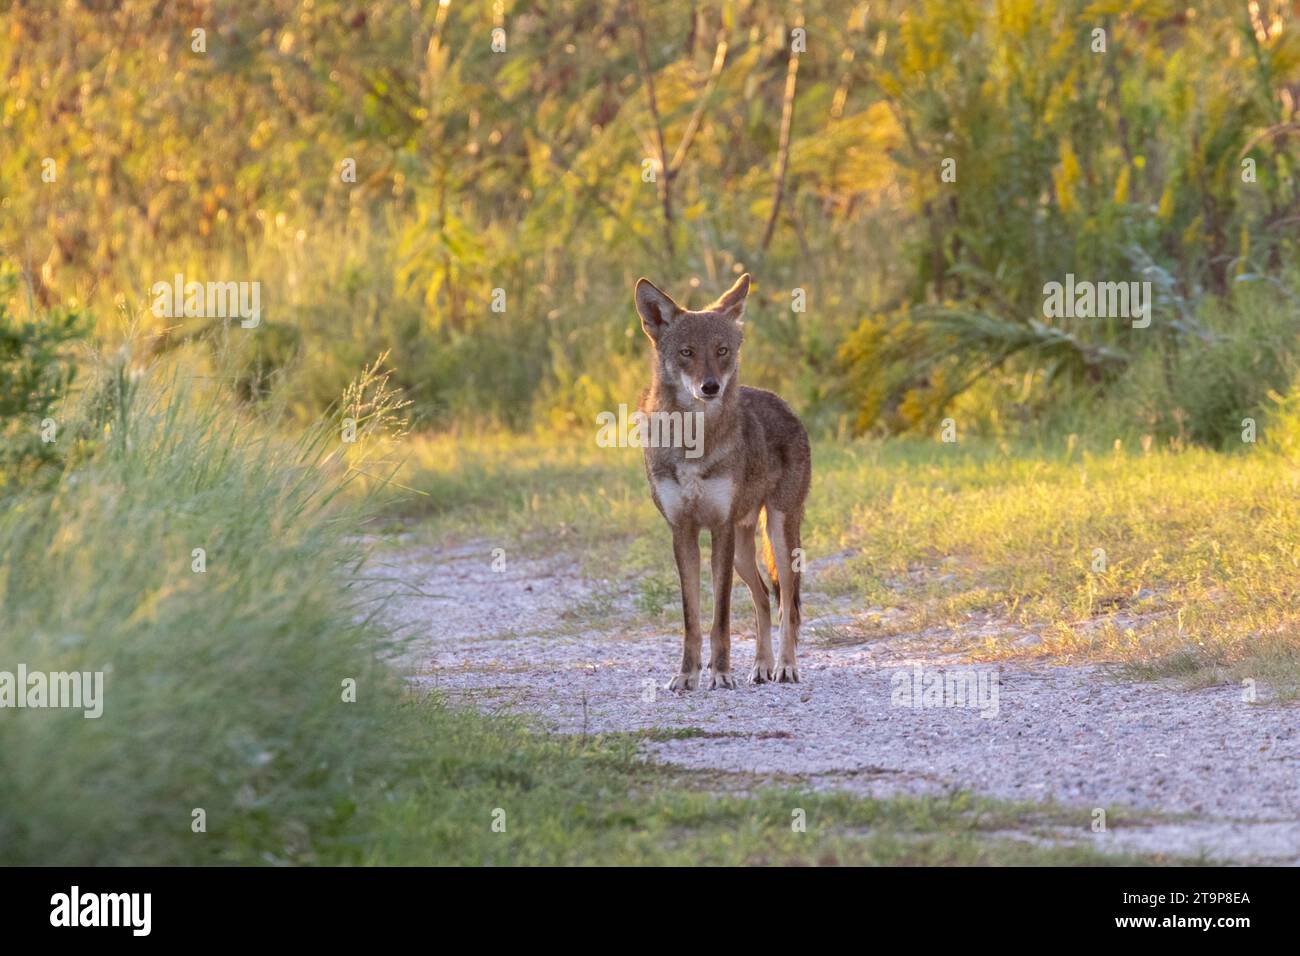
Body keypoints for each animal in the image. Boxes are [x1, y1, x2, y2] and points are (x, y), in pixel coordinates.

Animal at [634, 273, 812, 691]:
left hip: (778, 535)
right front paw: (687, 675)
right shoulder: (682, 531)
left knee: (788, 606)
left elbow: (721, 618)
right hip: (744, 551)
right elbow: (693, 620)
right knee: (763, 599)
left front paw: (720, 673)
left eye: (722, 350)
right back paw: (761, 667)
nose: (710, 387)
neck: (694, 441)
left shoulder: (720, 528)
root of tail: (785, 404)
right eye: (686, 352)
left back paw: (785, 667)